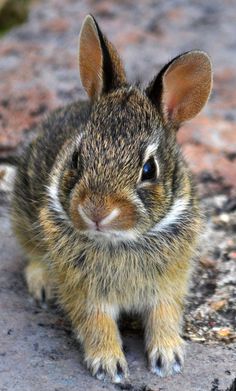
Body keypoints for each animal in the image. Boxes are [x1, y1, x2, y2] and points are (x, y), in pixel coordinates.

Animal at [11, 14, 212, 382]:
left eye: (149, 169)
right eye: (77, 158)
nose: (96, 211)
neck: (121, 241)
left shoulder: (169, 285)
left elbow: (164, 315)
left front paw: (168, 359)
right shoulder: (85, 293)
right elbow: (96, 322)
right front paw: (109, 365)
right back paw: (43, 285)